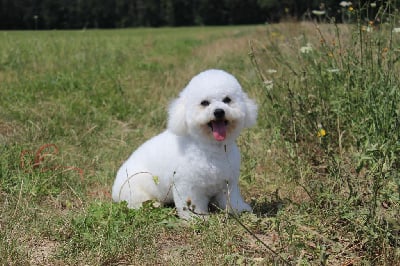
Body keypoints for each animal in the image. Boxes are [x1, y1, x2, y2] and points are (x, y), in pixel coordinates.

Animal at [111, 69, 258, 219]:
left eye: (227, 100)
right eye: (204, 103)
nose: (219, 112)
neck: (209, 147)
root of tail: (114, 189)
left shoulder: (228, 182)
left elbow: (232, 199)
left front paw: (240, 209)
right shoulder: (188, 185)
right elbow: (193, 204)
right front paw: (197, 218)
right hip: (136, 188)